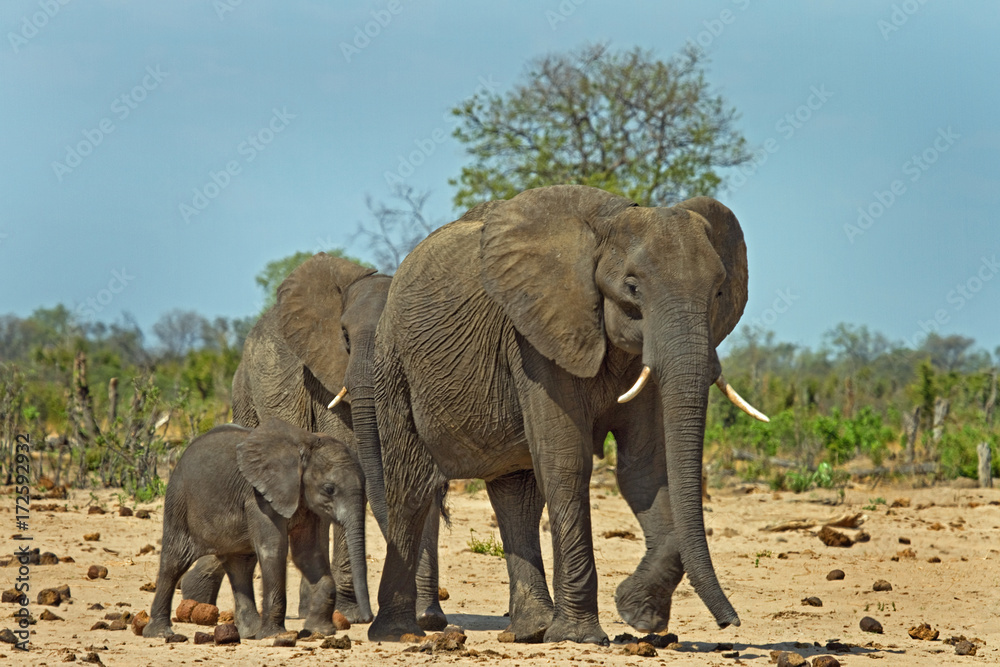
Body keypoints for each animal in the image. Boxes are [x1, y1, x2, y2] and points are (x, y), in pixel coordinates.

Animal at [143, 419, 368, 640]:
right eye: (329, 489)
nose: (367, 618)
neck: (305, 443)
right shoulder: (259, 497)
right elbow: (274, 549)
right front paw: (273, 636)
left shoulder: (304, 502)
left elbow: (307, 554)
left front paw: (320, 631)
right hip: (179, 500)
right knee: (175, 560)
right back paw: (159, 633)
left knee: (240, 565)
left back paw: (249, 633)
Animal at [179, 253, 447, 629]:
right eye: (344, 336)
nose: (428, 615)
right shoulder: (324, 382)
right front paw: (351, 614)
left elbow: (420, 474)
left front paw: (430, 617)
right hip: (243, 388)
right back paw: (194, 602)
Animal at [359, 185, 768, 644]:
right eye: (632, 286)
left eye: (718, 292)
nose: (730, 622)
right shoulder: (535, 337)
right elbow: (566, 461)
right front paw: (580, 636)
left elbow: (645, 469)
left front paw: (638, 613)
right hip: (393, 363)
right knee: (411, 488)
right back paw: (397, 633)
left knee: (516, 496)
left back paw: (531, 630)